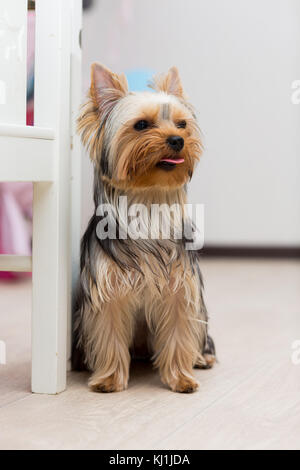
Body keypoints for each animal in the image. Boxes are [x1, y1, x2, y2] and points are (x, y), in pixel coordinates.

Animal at [73, 62, 216, 392]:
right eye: (141, 125)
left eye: (182, 125)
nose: (177, 140)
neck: (148, 200)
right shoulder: (108, 289)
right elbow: (108, 332)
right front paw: (109, 379)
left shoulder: (180, 288)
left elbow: (179, 333)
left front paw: (180, 378)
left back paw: (201, 358)